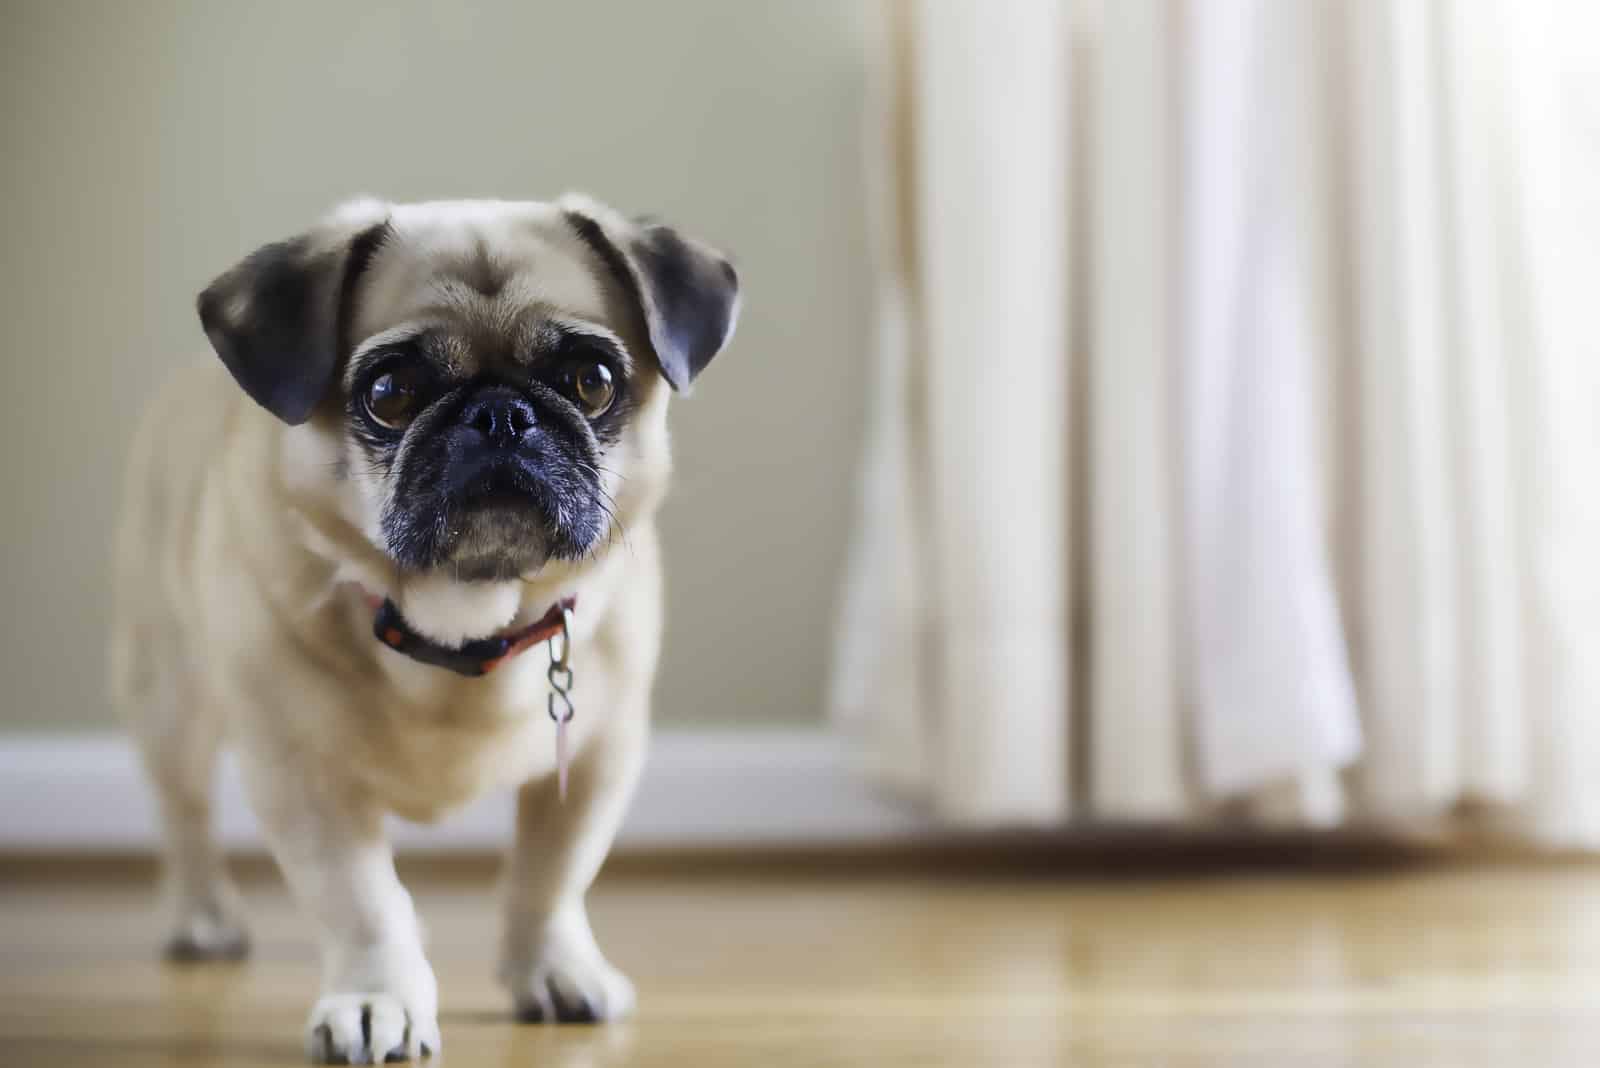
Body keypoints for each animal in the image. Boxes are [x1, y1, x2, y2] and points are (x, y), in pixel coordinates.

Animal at [109, 198, 739, 1061]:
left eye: (592, 380)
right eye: (391, 392)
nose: (501, 414)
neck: (464, 619)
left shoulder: (596, 756)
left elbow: (552, 875)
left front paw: (555, 970)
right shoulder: (302, 775)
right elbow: (359, 901)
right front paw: (378, 998)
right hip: (172, 699)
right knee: (185, 814)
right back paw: (201, 916)